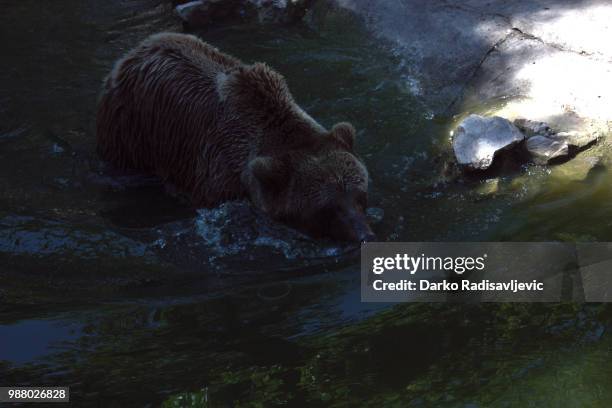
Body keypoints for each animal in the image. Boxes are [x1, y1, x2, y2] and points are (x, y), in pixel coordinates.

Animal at [97, 33, 372, 242]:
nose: (363, 236)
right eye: (328, 208)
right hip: (132, 129)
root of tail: (141, 47)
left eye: (360, 196)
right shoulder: (217, 178)